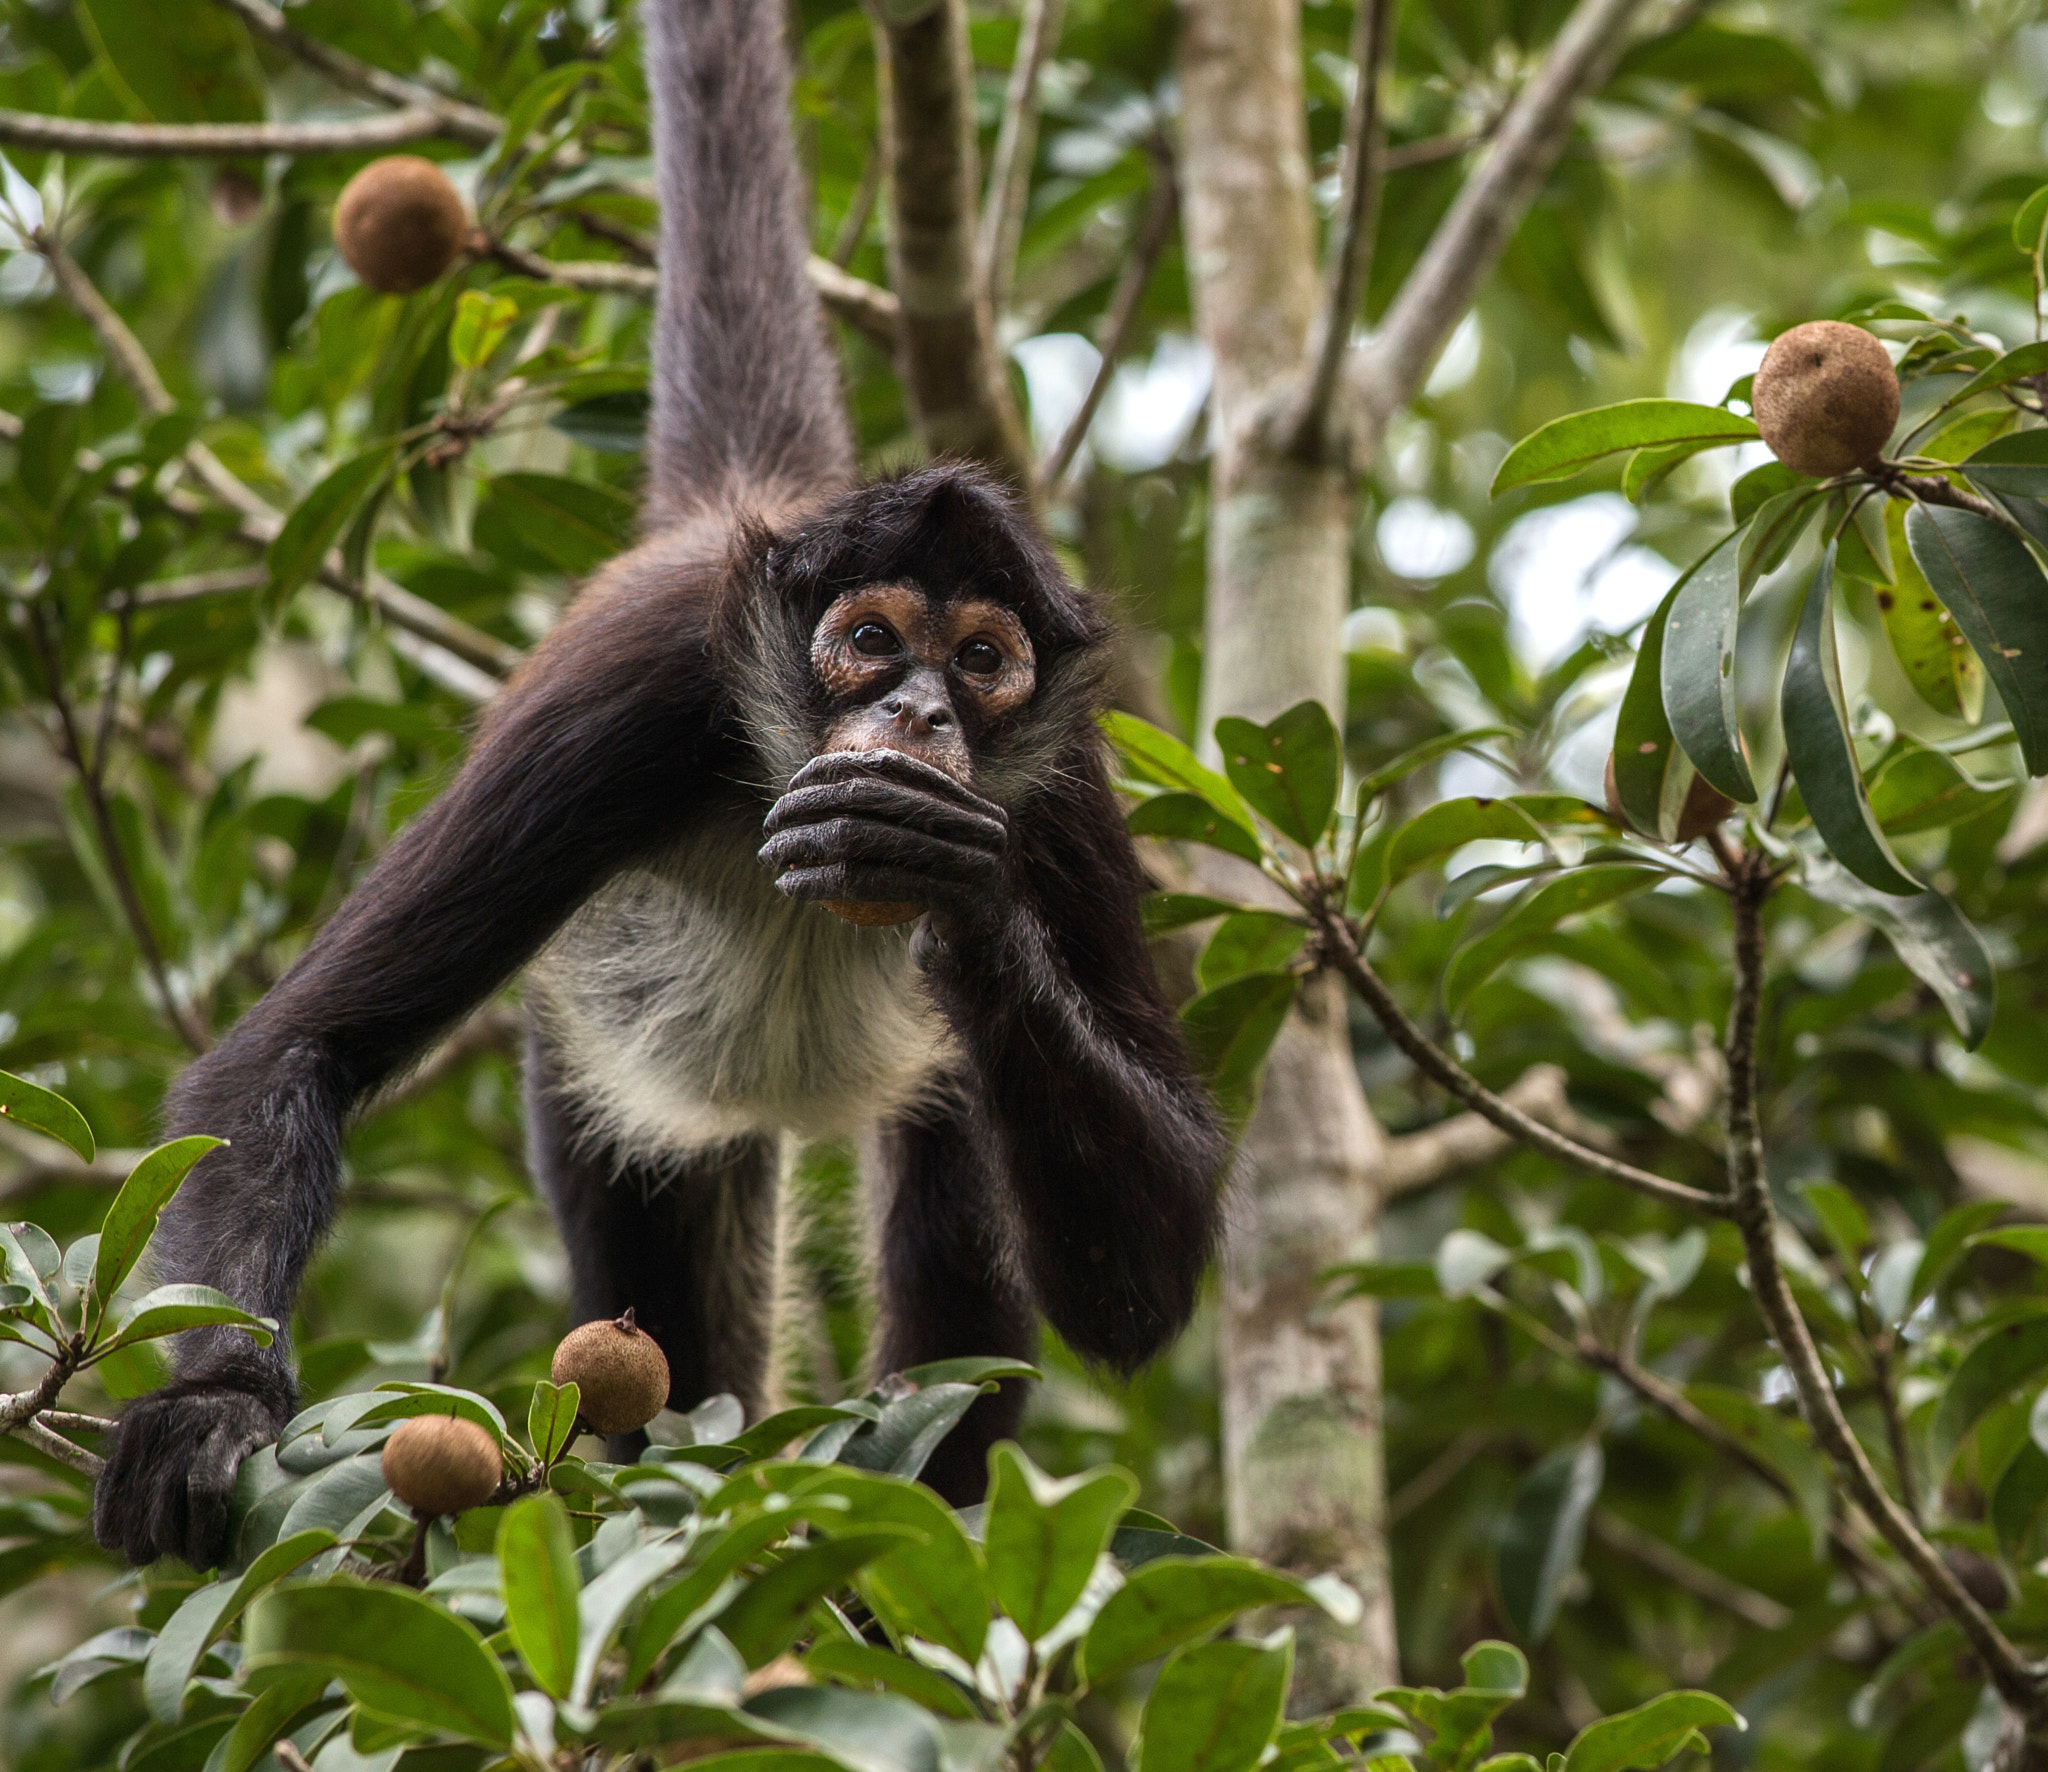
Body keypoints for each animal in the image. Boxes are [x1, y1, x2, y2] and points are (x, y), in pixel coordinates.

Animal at [88, 0, 1220, 1565]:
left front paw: (950, 877)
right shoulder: (640, 688)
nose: (921, 711)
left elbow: (1152, 1266)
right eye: (872, 642)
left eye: (983, 662)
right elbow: (289, 1054)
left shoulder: (1062, 782)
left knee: (959, 1196)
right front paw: (203, 1409)